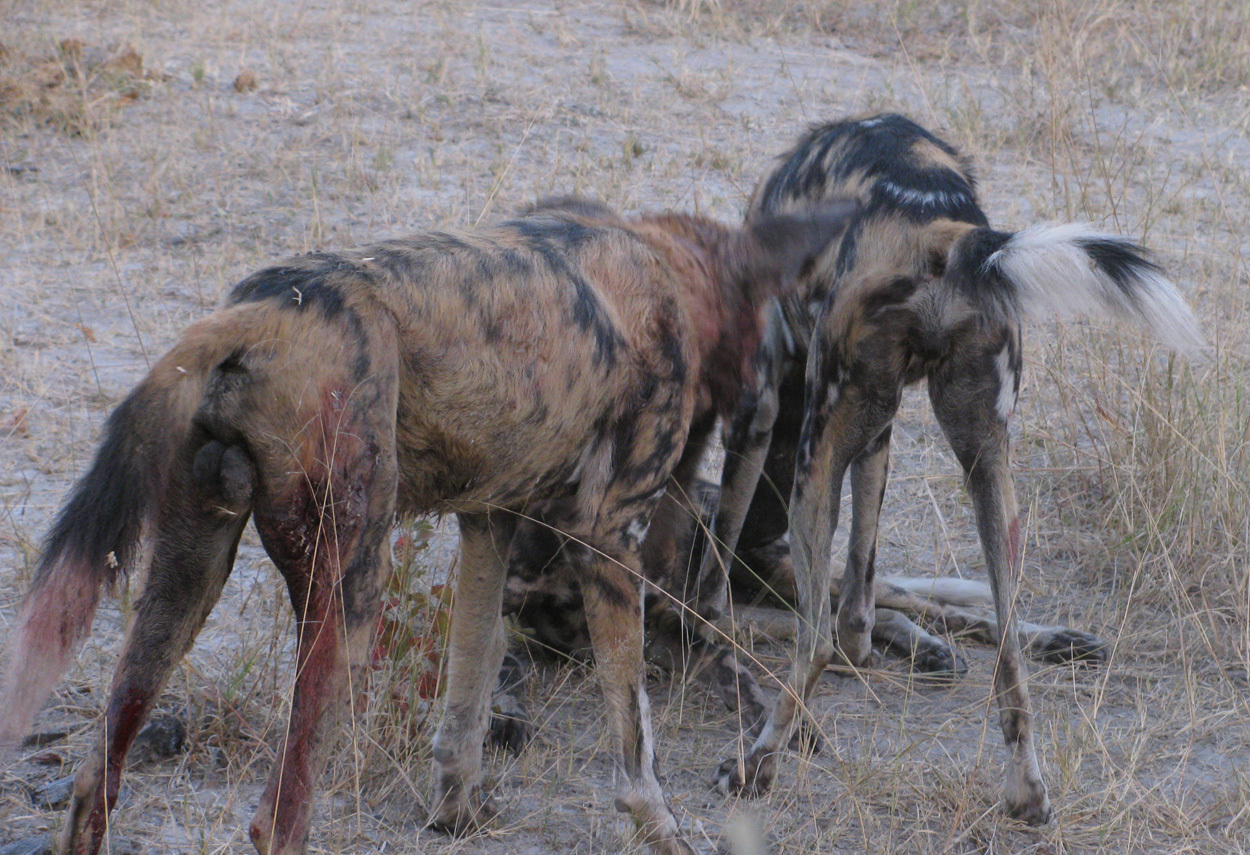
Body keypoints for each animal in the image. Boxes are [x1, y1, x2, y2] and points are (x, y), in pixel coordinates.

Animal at [0, 195, 855, 855]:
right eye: (777, 338)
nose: (771, 405)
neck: (667, 268)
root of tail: (265, 310)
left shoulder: (490, 524)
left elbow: (468, 694)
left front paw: (456, 811)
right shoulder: (609, 537)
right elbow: (634, 741)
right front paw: (662, 829)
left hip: (187, 580)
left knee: (95, 784)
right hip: (351, 597)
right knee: (277, 820)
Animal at [705, 116, 1200, 825]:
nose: (762, 534)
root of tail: (939, 228)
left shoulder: (765, 414)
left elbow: (715, 591)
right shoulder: (874, 434)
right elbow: (862, 583)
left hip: (813, 475)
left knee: (815, 641)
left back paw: (753, 767)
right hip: (987, 471)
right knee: (1007, 652)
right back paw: (1026, 794)